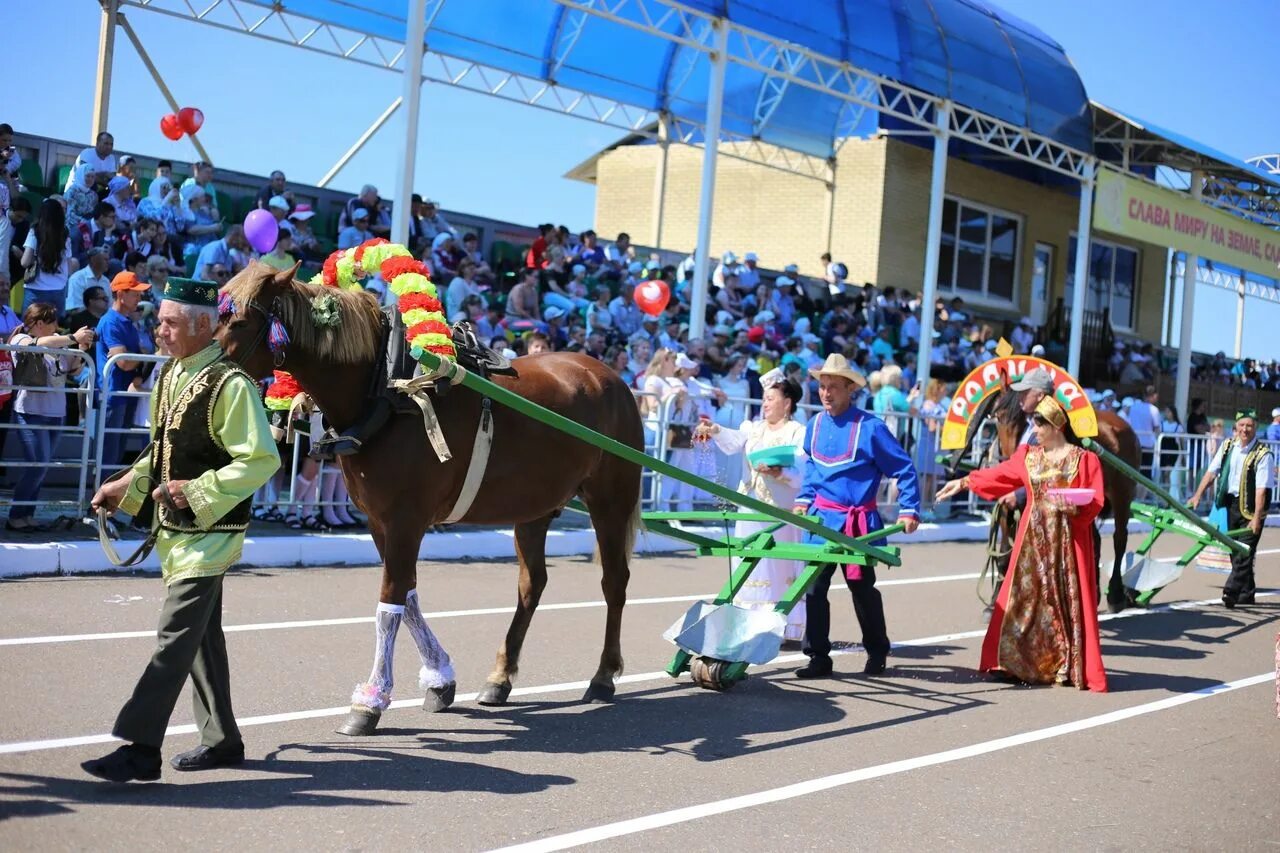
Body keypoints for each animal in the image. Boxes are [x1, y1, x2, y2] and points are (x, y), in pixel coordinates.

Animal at [217, 261, 650, 732]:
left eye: (240, 320)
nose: (199, 363)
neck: (388, 388)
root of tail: (611, 378)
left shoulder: (406, 520)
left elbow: (391, 601)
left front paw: (369, 702)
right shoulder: (379, 521)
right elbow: (407, 597)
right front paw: (440, 680)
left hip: (611, 500)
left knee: (615, 582)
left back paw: (603, 675)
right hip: (534, 507)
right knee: (532, 585)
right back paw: (500, 677)